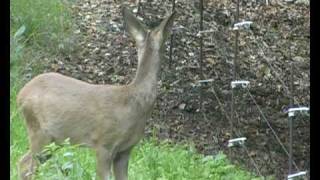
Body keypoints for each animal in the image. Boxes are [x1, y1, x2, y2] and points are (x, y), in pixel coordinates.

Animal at [17, 7, 176, 180]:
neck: (134, 103)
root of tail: (20, 95)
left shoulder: (125, 150)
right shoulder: (103, 143)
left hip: (54, 139)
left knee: (24, 162)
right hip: (38, 131)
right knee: (26, 166)